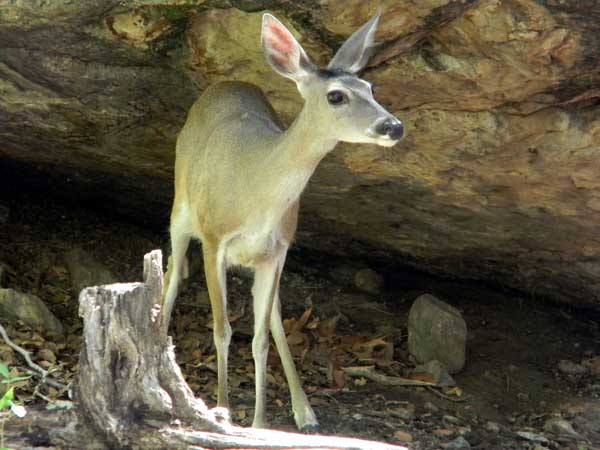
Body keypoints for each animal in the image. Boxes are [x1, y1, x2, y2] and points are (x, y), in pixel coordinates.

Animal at [162, 11, 404, 432]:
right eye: (336, 95)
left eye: (370, 87)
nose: (393, 126)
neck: (257, 186)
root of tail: (226, 83)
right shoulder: (214, 238)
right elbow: (222, 329)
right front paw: (222, 411)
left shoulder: (276, 250)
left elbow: (259, 337)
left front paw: (260, 424)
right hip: (181, 209)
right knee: (172, 275)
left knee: (272, 314)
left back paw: (304, 410)